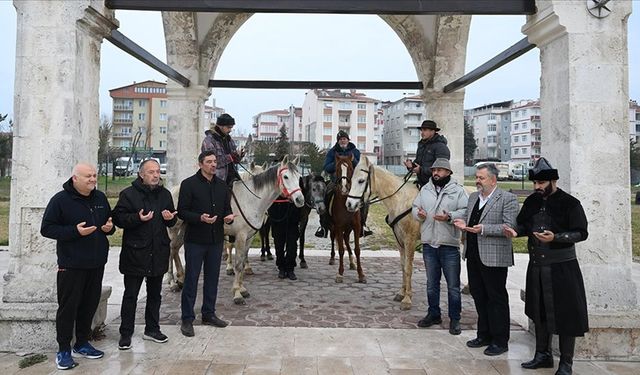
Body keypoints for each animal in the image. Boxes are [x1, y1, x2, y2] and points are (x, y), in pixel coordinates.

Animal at [166, 156, 304, 306]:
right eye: (285, 177)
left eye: (299, 177)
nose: (300, 200)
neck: (251, 200)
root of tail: (173, 189)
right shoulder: (240, 236)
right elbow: (237, 264)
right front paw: (237, 293)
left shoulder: (249, 237)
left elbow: (242, 262)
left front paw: (242, 289)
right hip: (173, 228)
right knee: (170, 250)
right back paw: (172, 282)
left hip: (185, 229)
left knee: (175, 249)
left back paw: (180, 279)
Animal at [330, 154, 364, 284]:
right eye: (337, 169)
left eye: (350, 168)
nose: (344, 187)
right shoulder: (339, 226)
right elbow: (340, 250)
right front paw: (340, 273)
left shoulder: (356, 226)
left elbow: (357, 249)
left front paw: (361, 274)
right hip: (333, 227)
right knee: (334, 239)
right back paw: (332, 258)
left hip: (348, 228)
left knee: (346, 239)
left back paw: (352, 262)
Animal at [344, 156, 420, 312]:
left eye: (361, 181)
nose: (349, 204)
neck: (401, 200)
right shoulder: (400, 241)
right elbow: (403, 266)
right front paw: (401, 293)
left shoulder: (410, 240)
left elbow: (409, 267)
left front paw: (407, 299)